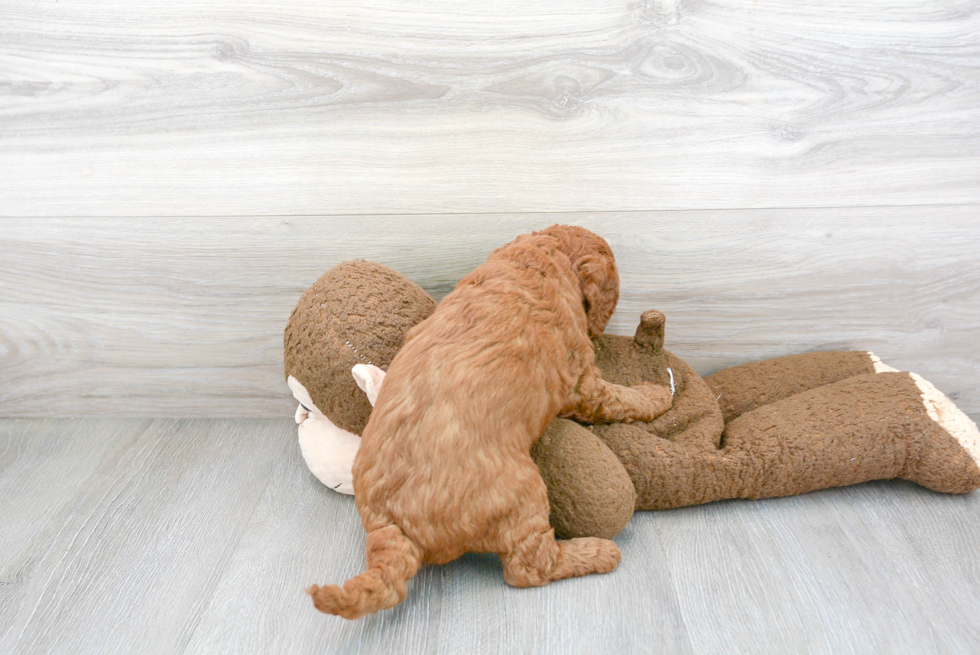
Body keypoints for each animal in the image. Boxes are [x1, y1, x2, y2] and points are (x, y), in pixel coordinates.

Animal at [308, 226, 672, 620]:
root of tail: (388, 522)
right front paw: (657, 395)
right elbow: (618, 398)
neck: (540, 258)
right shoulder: (582, 382)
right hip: (523, 493)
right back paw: (597, 552)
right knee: (528, 567)